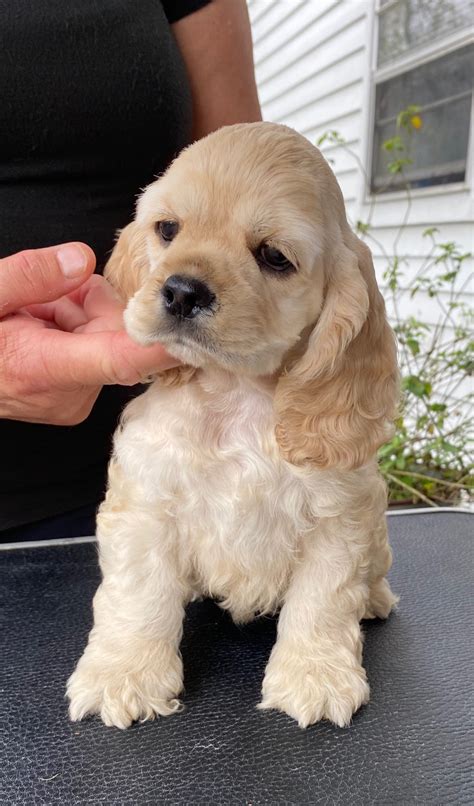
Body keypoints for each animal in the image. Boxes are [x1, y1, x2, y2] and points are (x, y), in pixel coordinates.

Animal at [67, 121, 400, 732]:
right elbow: (136, 596)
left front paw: (315, 676)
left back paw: (375, 598)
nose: (181, 290)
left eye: (273, 256)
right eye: (167, 229)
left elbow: (322, 602)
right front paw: (122, 676)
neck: (236, 394)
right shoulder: (144, 506)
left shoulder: (340, 518)